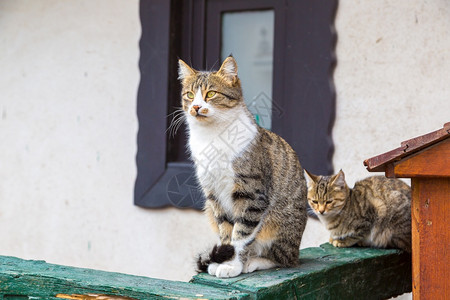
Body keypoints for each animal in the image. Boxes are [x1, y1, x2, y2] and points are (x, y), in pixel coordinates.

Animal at [177, 56, 310, 278]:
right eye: (189, 95)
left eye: (211, 94)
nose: (195, 107)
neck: (212, 136)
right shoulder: (214, 194)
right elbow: (225, 231)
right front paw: (222, 259)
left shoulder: (250, 194)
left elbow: (240, 234)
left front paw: (232, 265)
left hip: (278, 225)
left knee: (282, 259)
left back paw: (254, 261)